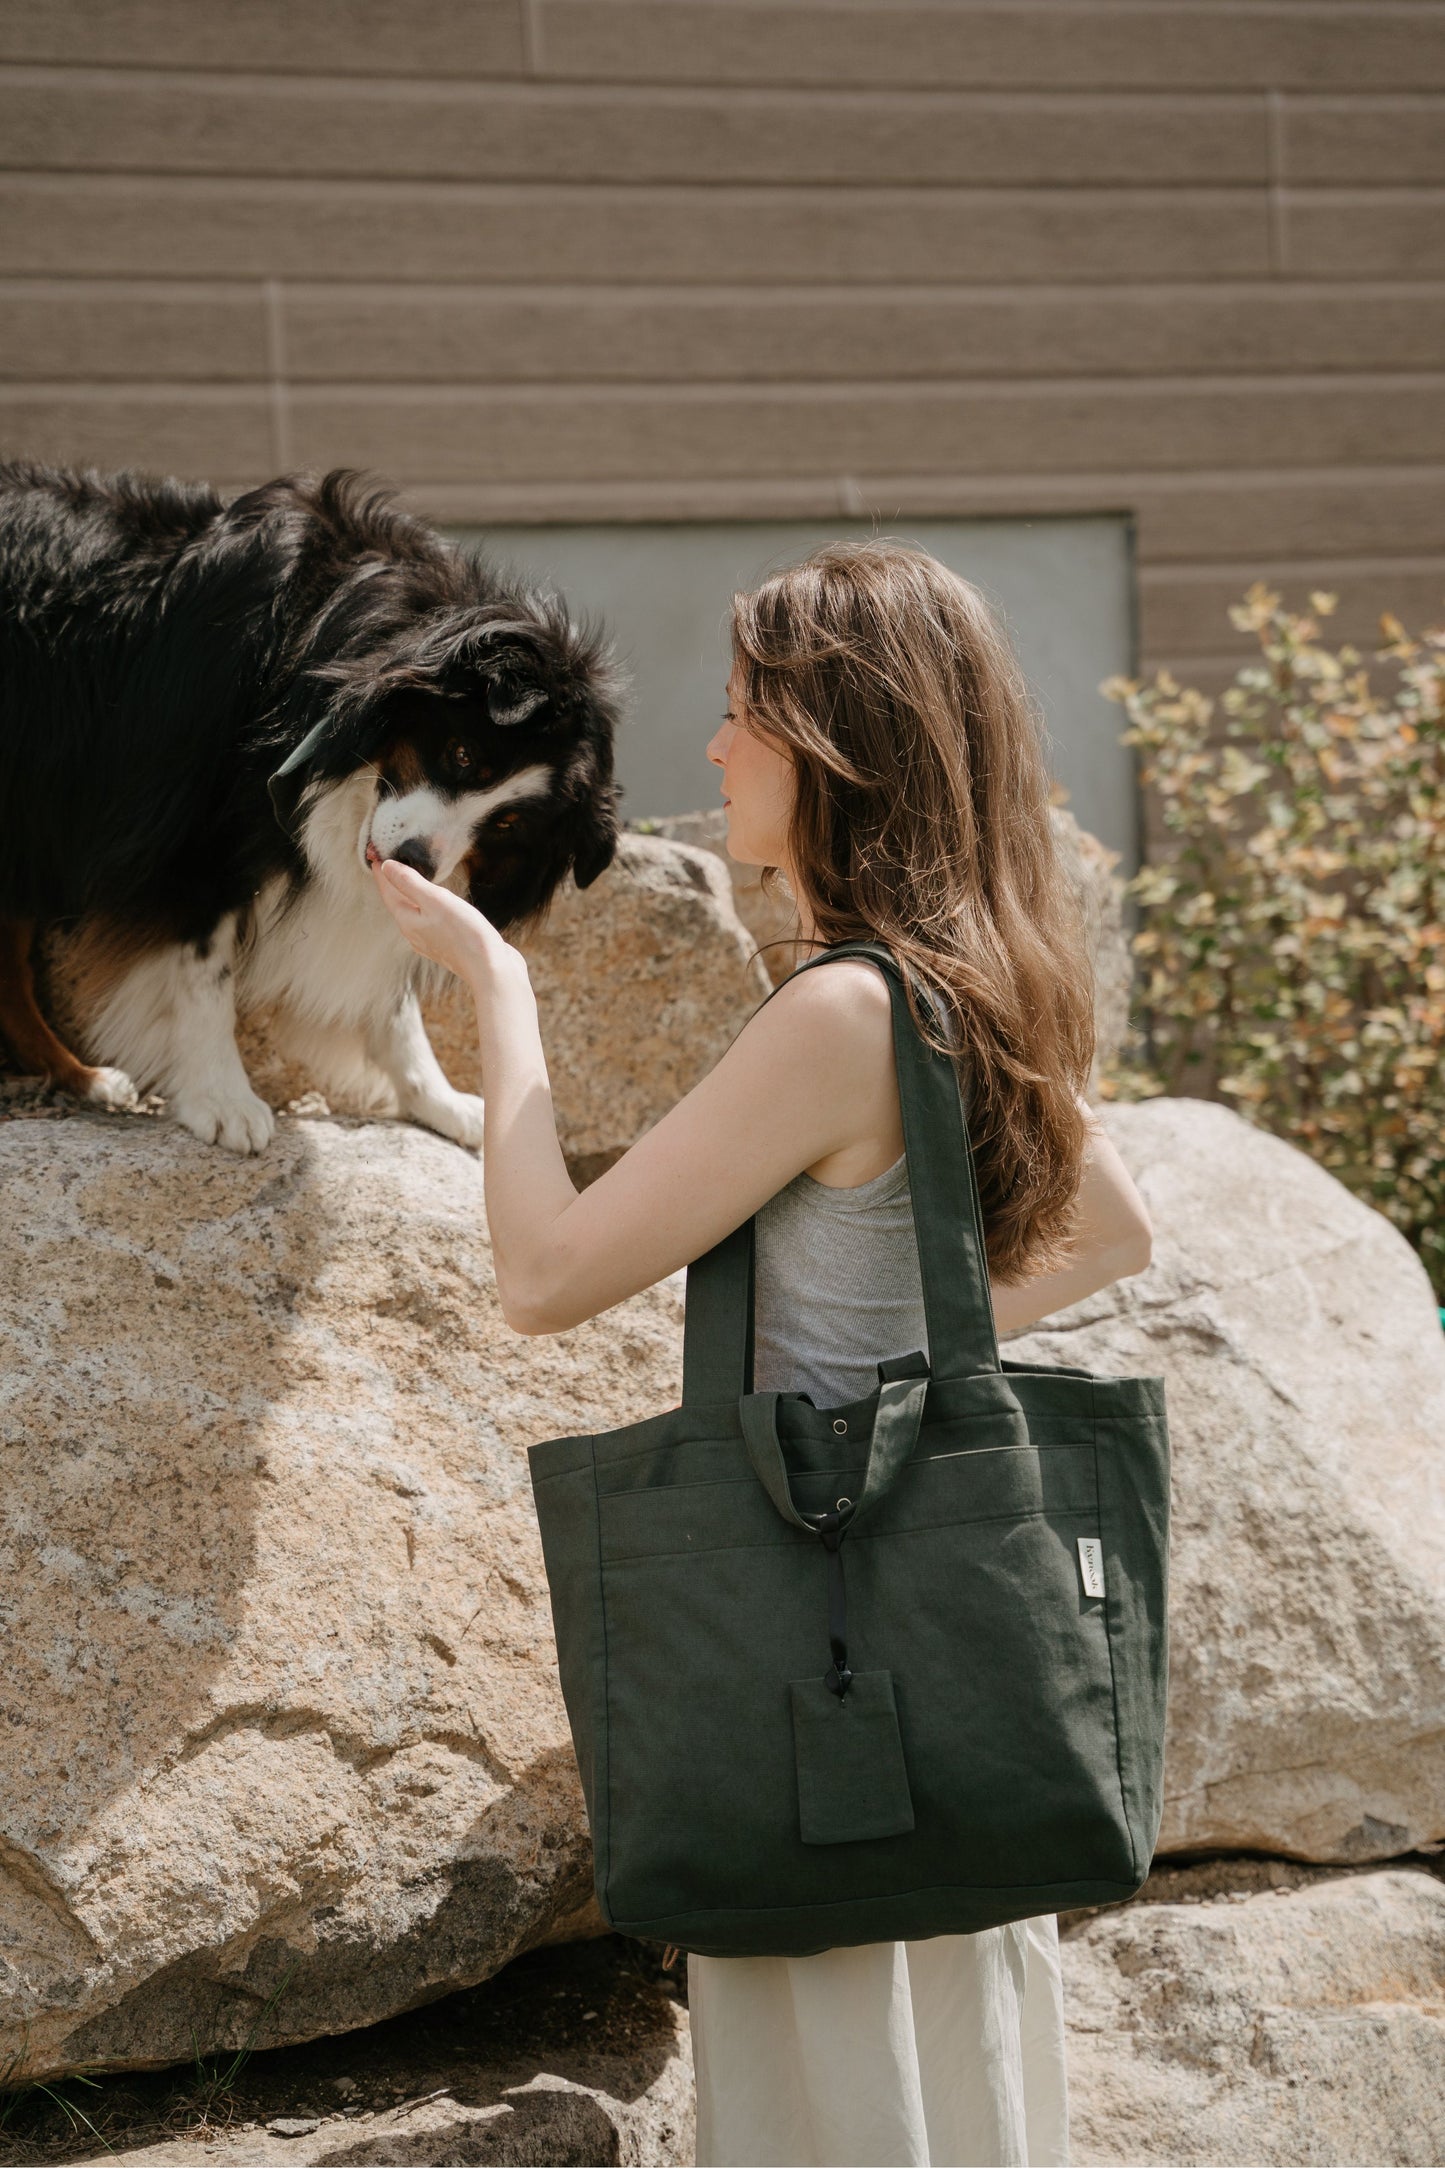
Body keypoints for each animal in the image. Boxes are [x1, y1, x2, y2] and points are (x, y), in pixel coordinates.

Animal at [0, 459, 615, 1153]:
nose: (416, 862)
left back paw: (80, 1077)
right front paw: (225, 1104)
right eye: (461, 754)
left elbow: (390, 986)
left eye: (508, 825)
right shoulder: (193, 815)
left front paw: (446, 1104)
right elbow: (204, 966)